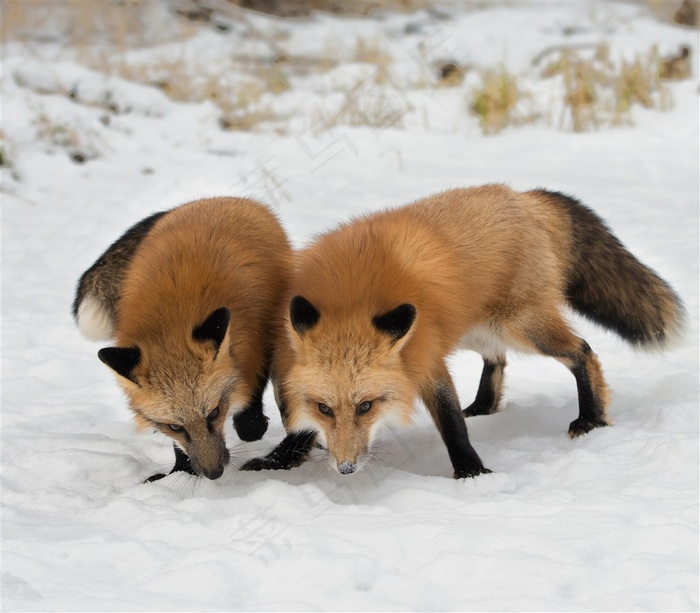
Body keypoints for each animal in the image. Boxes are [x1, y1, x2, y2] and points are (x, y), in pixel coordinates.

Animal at [76, 198, 292, 480]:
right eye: (175, 427)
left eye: (214, 413)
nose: (213, 473)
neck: (174, 312)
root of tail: (208, 200)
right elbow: (177, 445)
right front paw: (181, 471)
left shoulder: (261, 338)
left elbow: (252, 393)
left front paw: (251, 424)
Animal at [243, 185, 688, 478]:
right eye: (324, 408)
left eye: (367, 406)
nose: (347, 468)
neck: (350, 301)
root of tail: (524, 197)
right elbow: (299, 427)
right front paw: (279, 460)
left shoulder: (425, 357)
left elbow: (450, 420)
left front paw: (472, 474)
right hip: (476, 328)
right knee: (498, 359)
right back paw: (485, 406)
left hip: (522, 326)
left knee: (583, 351)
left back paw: (591, 419)